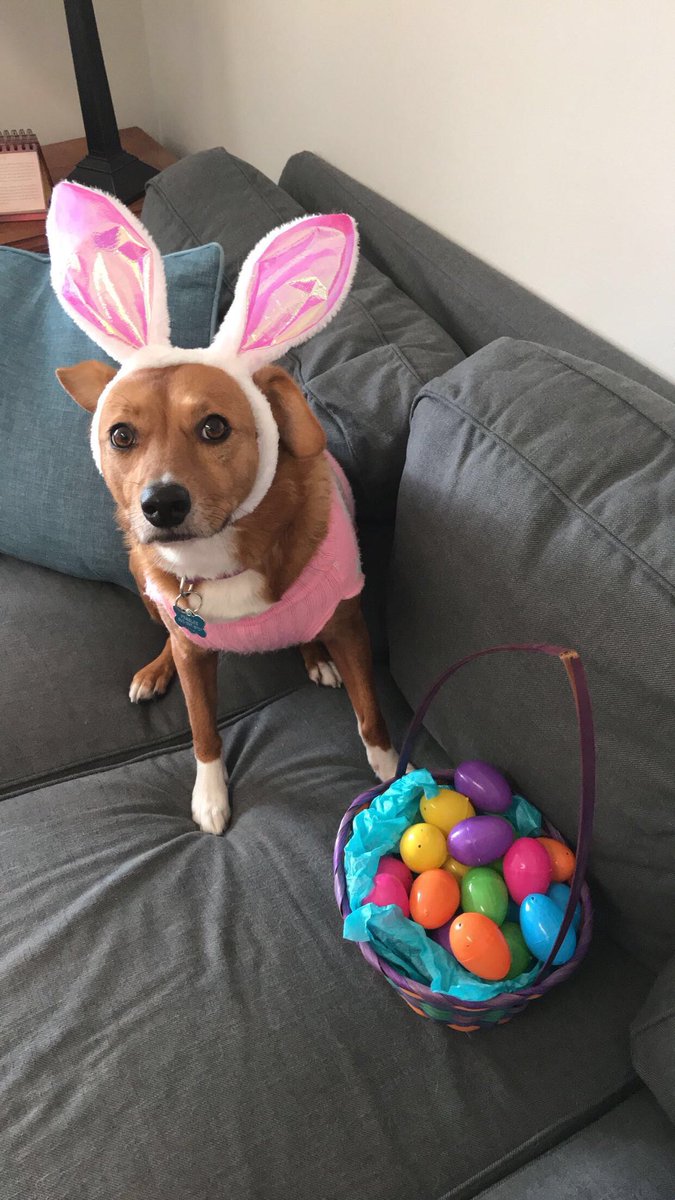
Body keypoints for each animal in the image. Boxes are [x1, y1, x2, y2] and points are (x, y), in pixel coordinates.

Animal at [49, 184, 396, 835]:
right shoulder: (194, 651)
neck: (217, 555)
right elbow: (203, 729)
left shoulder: (350, 622)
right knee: (167, 635)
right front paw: (210, 794)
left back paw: (315, 657)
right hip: (145, 586)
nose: (161, 505)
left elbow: (369, 708)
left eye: (214, 427)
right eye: (120, 436)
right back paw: (153, 670)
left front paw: (391, 767)